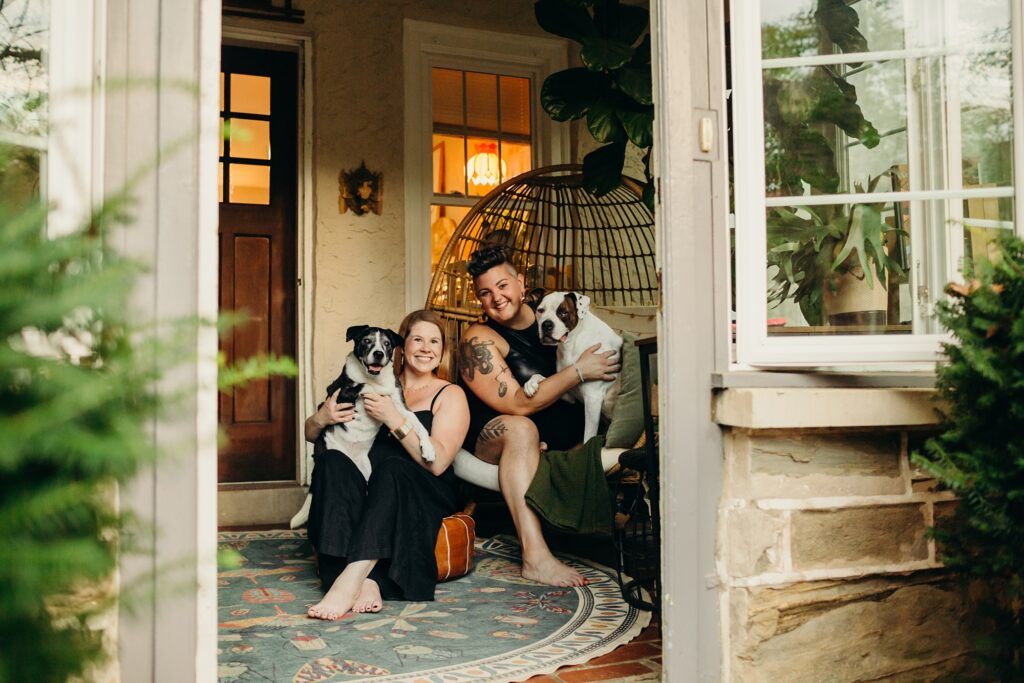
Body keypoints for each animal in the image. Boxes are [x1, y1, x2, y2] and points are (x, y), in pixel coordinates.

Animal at [290, 325, 434, 528]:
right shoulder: (339, 394)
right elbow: (365, 386)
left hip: (366, 471)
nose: (379, 354)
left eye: (387, 344)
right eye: (366, 341)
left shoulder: (401, 408)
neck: (375, 377)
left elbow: (418, 424)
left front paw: (428, 449)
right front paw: (377, 390)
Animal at [524, 292, 618, 444]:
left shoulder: (593, 399)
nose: (546, 324)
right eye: (540, 310)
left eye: (563, 313)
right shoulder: (568, 393)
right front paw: (531, 383)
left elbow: (588, 437)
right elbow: (544, 377)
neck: (572, 343)